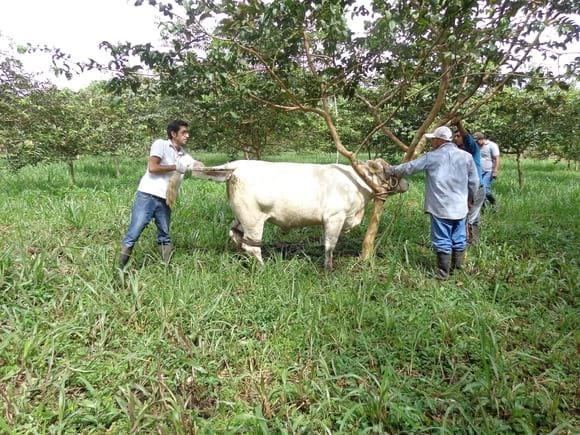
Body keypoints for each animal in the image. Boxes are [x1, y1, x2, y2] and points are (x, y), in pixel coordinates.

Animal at [188, 160, 406, 270]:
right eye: (389, 170)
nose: (406, 183)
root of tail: (237, 166)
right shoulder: (334, 217)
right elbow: (330, 245)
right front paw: (328, 269)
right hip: (253, 218)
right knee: (251, 245)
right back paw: (263, 267)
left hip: (240, 215)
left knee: (235, 235)